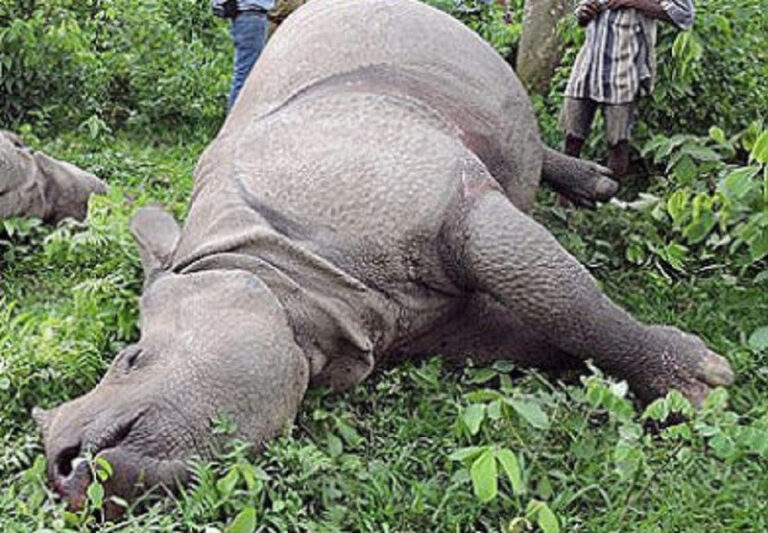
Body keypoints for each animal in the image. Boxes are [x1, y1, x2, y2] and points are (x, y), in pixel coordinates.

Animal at [33, 0, 734, 516]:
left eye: (130, 357)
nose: (59, 465)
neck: (282, 281)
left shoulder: (448, 201)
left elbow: (566, 301)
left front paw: (701, 384)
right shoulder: (424, 322)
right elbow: (547, 328)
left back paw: (600, 188)